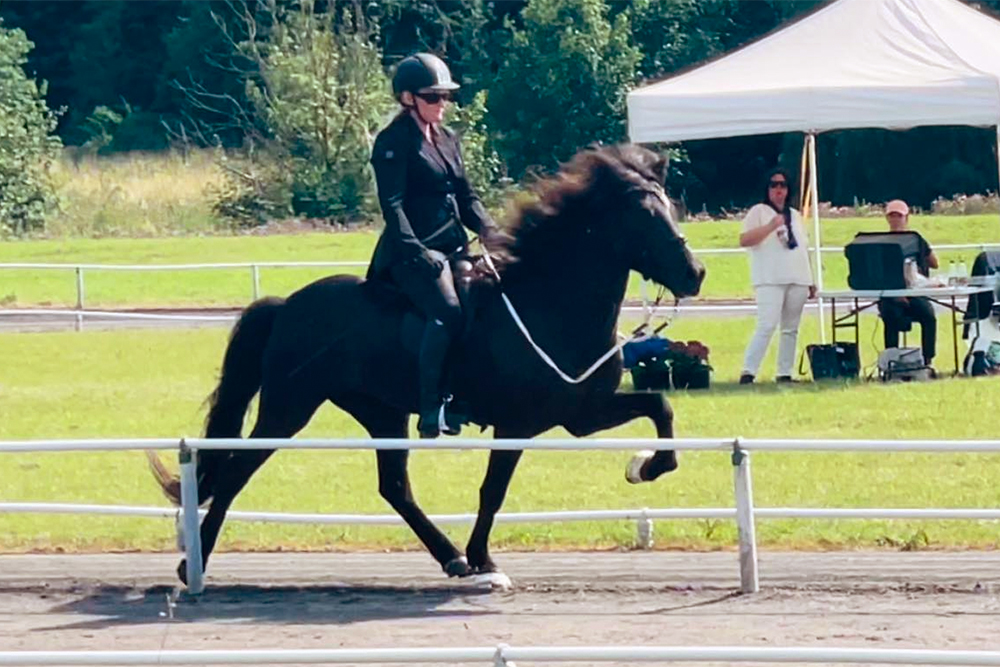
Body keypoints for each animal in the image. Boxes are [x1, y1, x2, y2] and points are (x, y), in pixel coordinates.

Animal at [150, 145, 704, 584]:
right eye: (644, 216)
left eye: (670, 207)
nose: (695, 273)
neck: (548, 302)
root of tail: (287, 305)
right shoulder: (518, 424)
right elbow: (493, 490)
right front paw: (484, 559)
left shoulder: (580, 415)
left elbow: (660, 405)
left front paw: (647, 467)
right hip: (288, 409)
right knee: (237, 471)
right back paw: (192, 565)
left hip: (381, 412)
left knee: (394, 486)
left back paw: (450, 557)